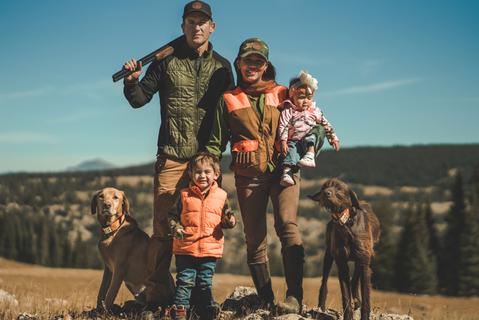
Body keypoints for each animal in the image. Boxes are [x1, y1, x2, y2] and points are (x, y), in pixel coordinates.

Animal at [310, 179, 380, 320]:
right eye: (324, 187)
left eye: (339, 188)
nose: (326, 193)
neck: (346, 223)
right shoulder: (341, 262)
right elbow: (345, 295)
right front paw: (348, 316)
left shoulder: (364, 262)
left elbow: (366, 296)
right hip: (328, 255)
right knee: (324, 282)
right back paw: (321, 307)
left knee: (354, 282)